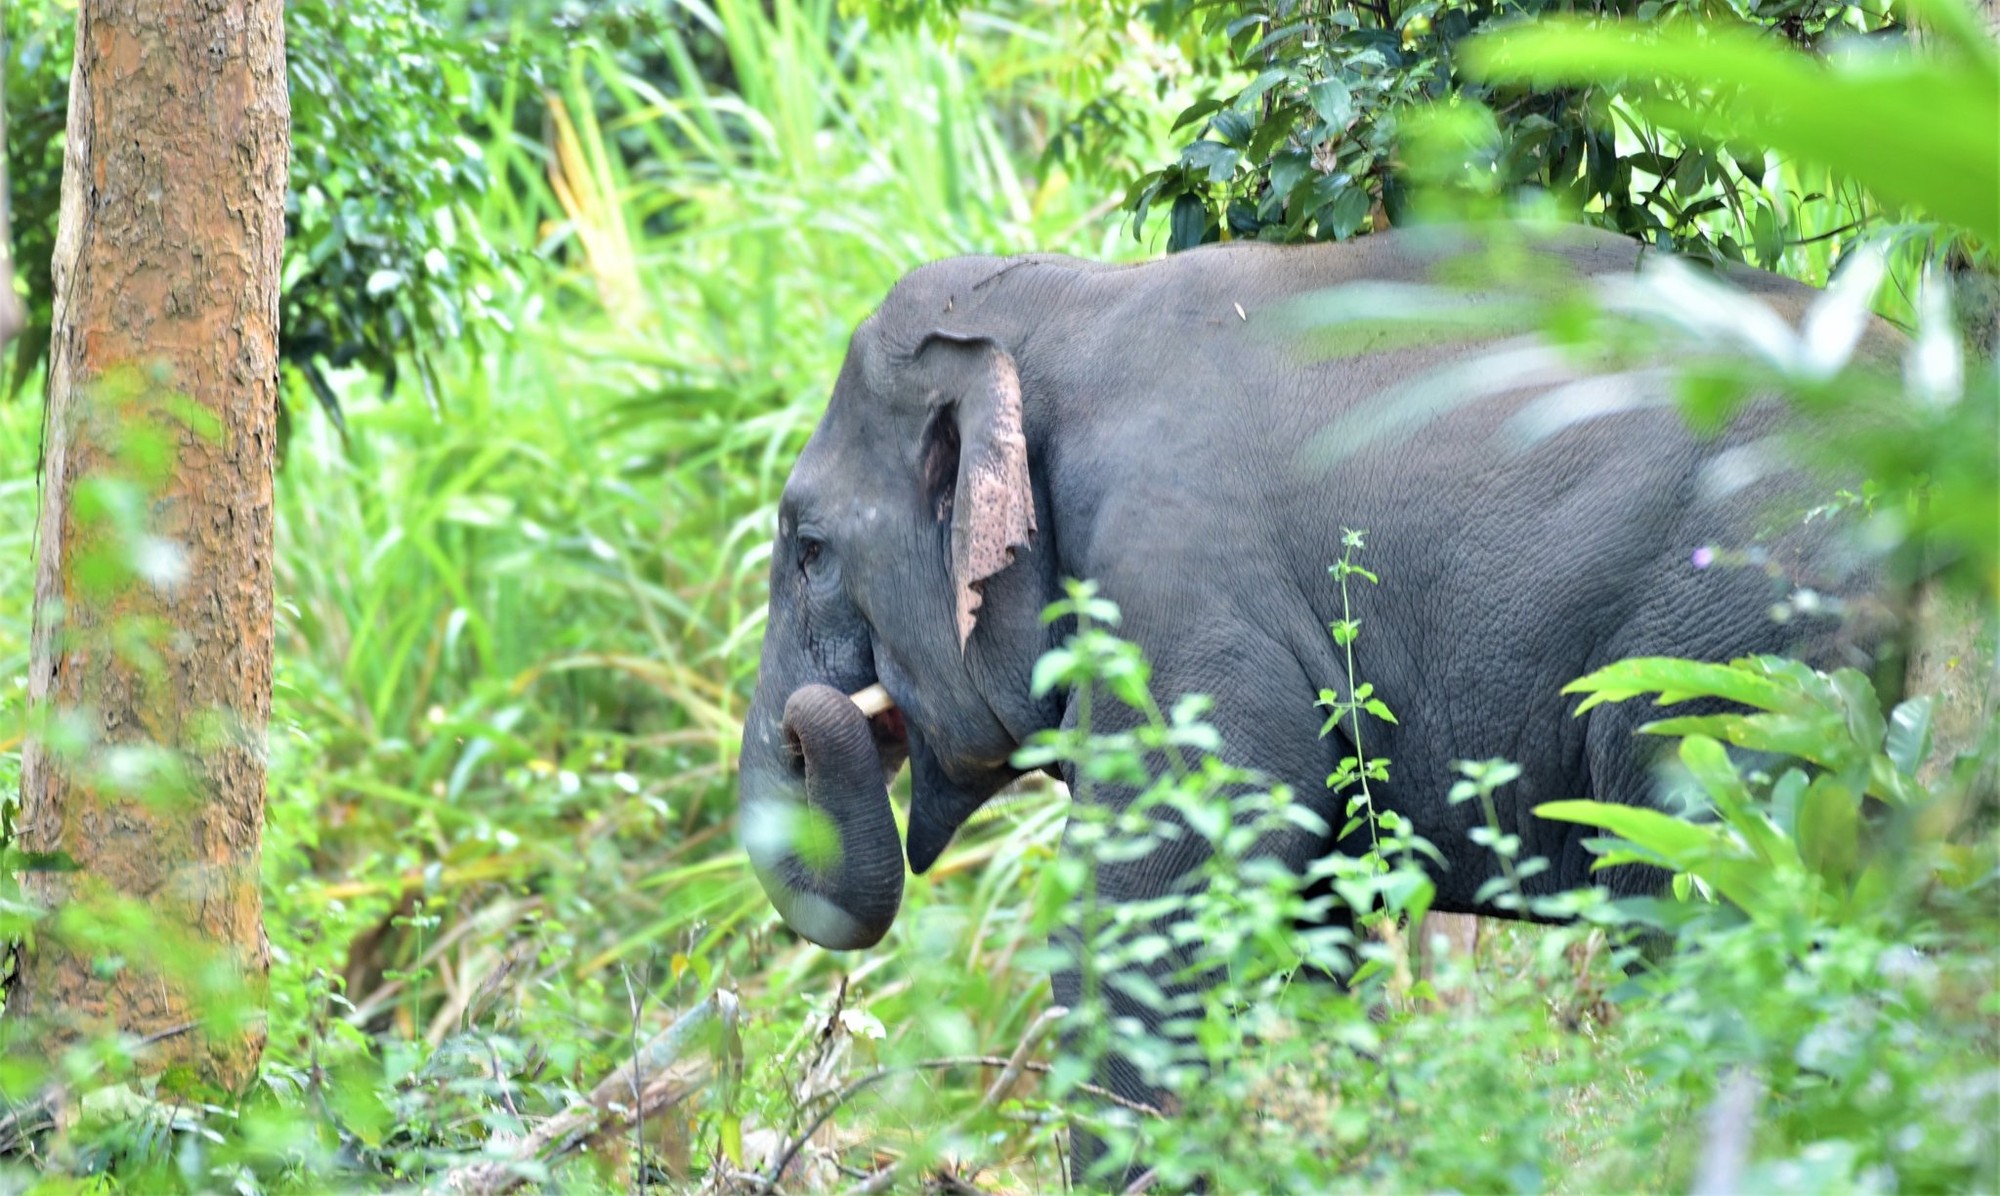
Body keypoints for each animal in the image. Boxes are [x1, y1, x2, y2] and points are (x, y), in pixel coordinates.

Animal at [732, 227, 1872, 1184]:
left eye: (809, 548)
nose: (805, 722)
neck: (1079, 299)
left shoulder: (1177, 592)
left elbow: (1155, 893)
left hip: (1725, 670)